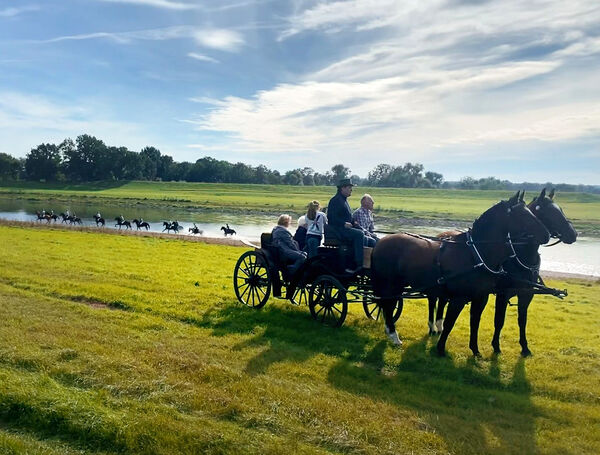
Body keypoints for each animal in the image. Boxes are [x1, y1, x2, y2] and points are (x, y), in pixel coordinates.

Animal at [372, 192, 552, 356]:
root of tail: (381, 242)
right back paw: (394, 336)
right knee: (388, 305)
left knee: (388, 305)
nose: (546, 234)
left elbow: (475, 322)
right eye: (522, 214)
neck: (475, 254)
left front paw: (475, 350)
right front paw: (440, 349)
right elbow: (450, 322)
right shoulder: (458, 298)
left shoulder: (481, 298)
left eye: (530, 211)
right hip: (390, 284)